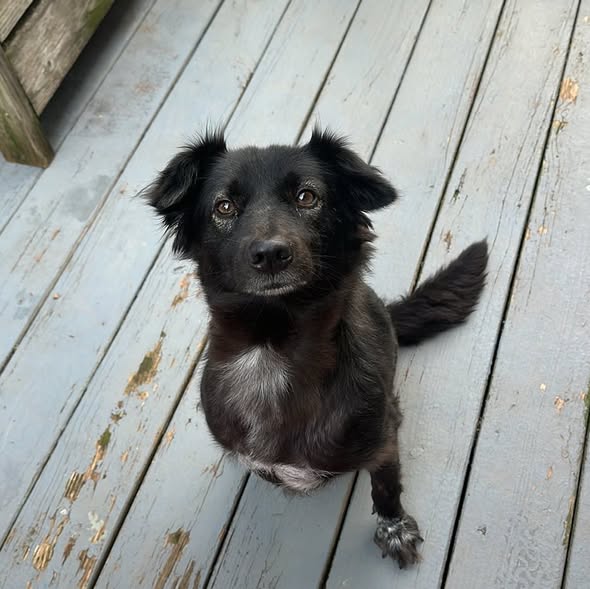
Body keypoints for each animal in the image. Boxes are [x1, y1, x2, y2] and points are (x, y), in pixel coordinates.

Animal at [144, 127, 488, 567]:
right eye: (224, 206)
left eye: (307, 197)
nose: (271, 254)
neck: (272, 349)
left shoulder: (383, 438)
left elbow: (387, 487)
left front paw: (394, 529)